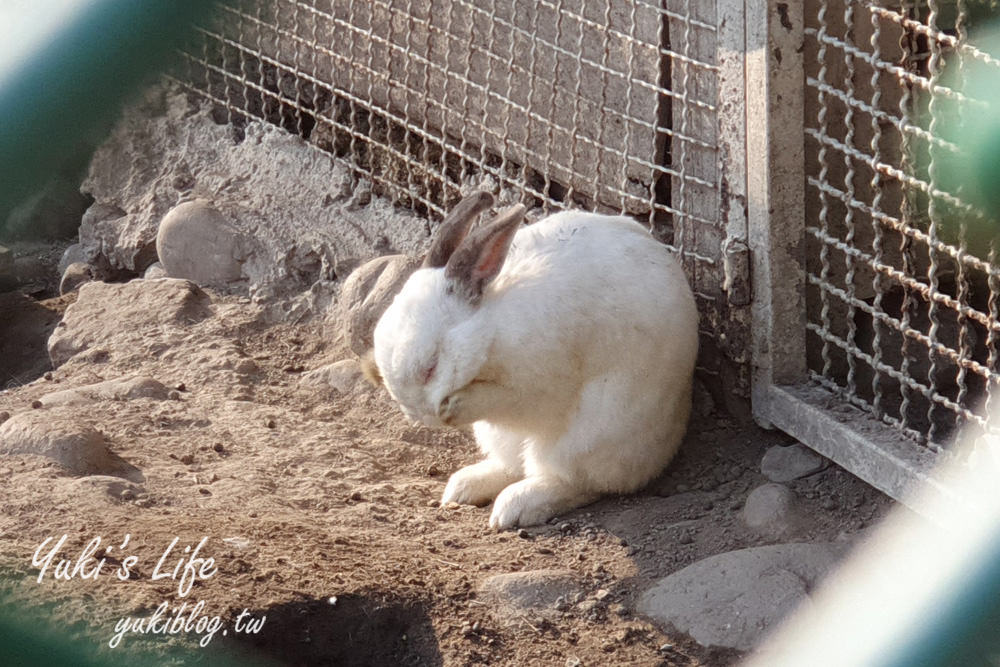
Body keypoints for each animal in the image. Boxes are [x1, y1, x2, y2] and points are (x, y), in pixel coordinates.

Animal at [366, 192, 696, 528]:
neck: (491, 332)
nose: (419, 416)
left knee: (580, 483)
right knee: (513, 466)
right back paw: (465, 486)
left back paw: (514, 507)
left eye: (431, 367)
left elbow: (503, 400)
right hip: (499, 437)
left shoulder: (537, 387)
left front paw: (455, 407)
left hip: (588, 439)